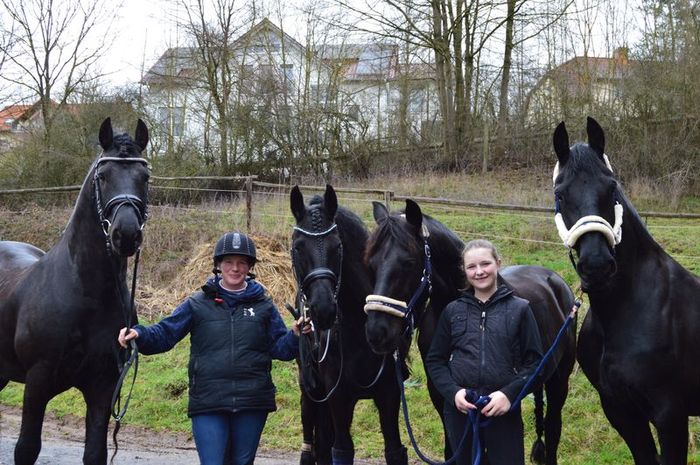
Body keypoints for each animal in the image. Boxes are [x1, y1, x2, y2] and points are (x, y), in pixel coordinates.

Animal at [0, 118, 149, 464]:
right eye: (103, 176)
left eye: (144, 176)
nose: (126, 234)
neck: (87, 294)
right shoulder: (37, 381)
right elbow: (26, 448)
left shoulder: (104, 384)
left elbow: (95, 452)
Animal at [292, 184, 410, 464]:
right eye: (298, 247)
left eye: (337, 246)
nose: (323, 309)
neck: (358, 331)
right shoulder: (338, 398)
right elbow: (342, 450)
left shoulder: (389, 395)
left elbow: (394, 450)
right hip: (310, 391)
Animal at [364, 201, 576, 464]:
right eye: (370, 263)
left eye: (409, 262)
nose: (377, 332)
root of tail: (556, 282)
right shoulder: (444, 395)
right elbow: (452, 449)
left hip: (559, 379)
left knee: (553, 429)